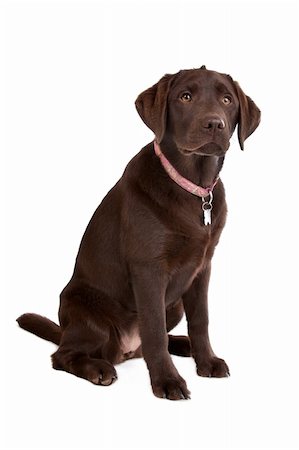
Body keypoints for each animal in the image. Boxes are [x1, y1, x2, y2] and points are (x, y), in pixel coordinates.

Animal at [16, 65, 262, 400]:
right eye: (185, 97)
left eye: (227, 100)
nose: (215, 123)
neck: (192, 189)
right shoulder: (149, 269)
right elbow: (154, 329)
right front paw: (167, 381)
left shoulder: (203, 268)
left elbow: (201, 320)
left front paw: (207, 361)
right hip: (83, 308)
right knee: (65, 355)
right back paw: (98, 368)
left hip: (175, 305)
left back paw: (182, 345)